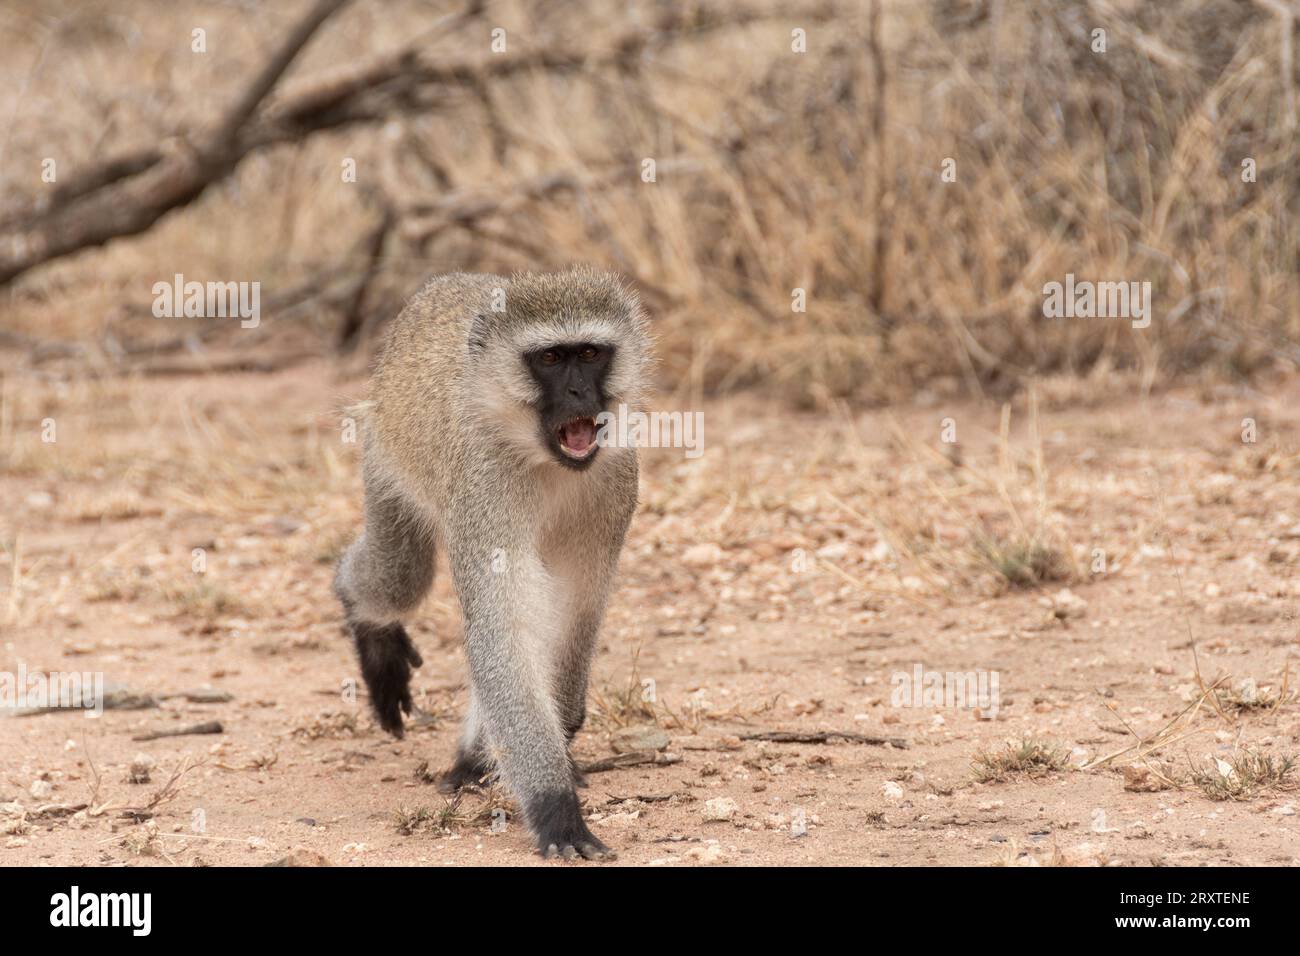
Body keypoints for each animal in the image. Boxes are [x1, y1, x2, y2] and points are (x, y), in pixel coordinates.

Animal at [330, 267, 644, 858]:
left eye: (590, 354)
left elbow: (572, 621)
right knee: (399, 578)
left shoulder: (614, 484)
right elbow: (505, 629)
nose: (578, 393)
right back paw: (363, 617)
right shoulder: (484, 486)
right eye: (550, 359)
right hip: (383, 458)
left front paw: (545, 752)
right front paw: (556, 808)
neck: (544, 460)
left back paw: (475, 759)